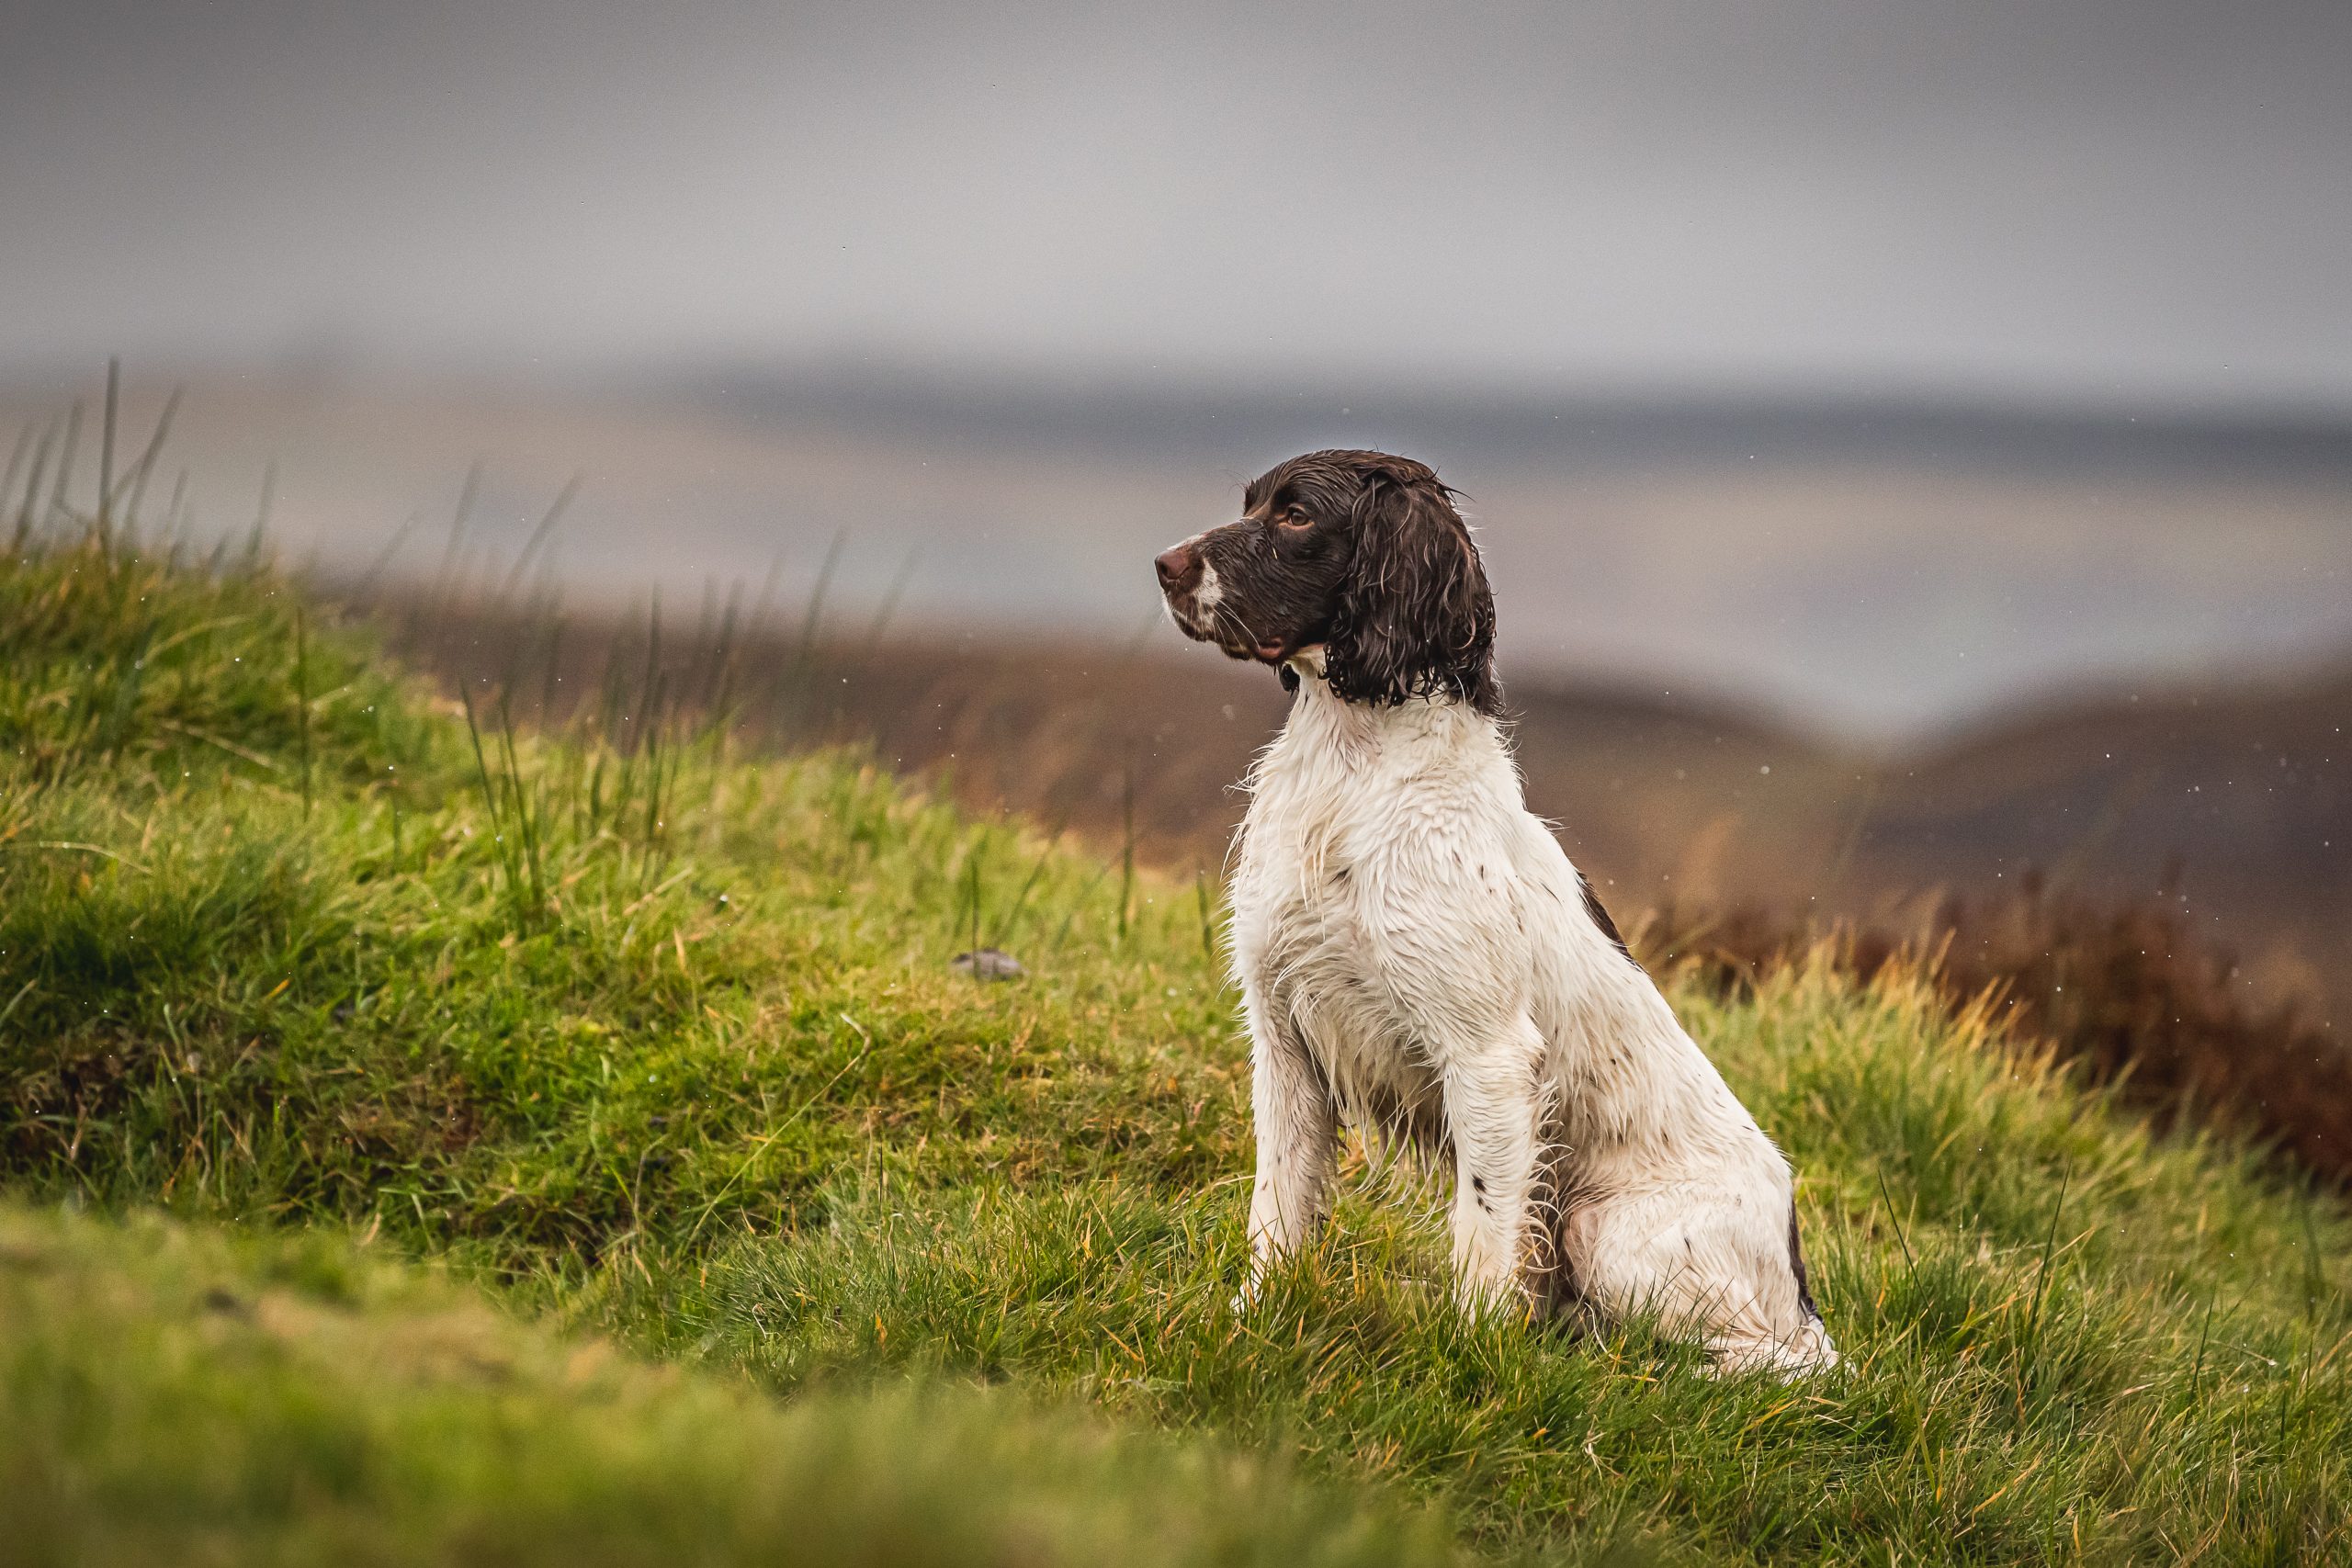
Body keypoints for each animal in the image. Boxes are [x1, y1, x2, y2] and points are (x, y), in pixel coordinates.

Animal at [1157, 451, 1834, 1372]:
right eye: (1253, 503)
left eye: (1297, 516)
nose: (1165, 565)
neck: (1353, 775)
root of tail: (1799, 1284)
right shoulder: (1286, 1037)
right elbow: (1279, 1208)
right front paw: (1249, 1318)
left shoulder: (1487, 1056)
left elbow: (1480, 1233)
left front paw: (1466, 1353)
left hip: (1607, 1229)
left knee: (1772, 1363)